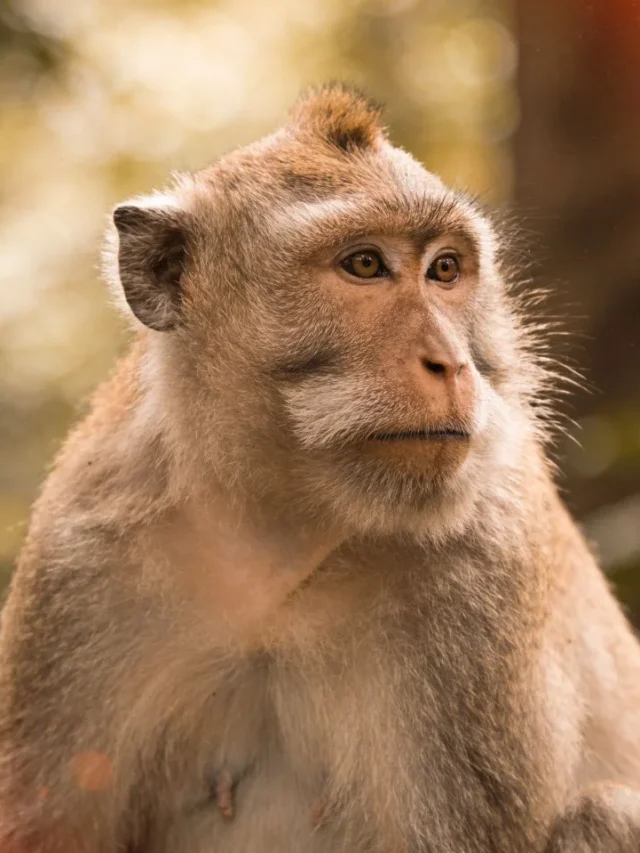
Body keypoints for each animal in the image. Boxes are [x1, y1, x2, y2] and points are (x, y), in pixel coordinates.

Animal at [0, 83, 639, 853]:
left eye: (445, 269)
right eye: (364, 265)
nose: (451, 362)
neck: (280, 539)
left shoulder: (484, 574)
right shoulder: (79, 561)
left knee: (607, 812)